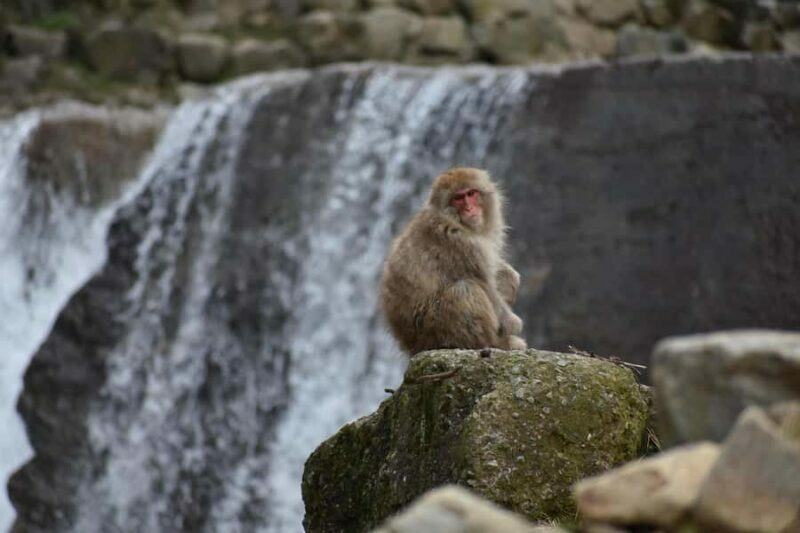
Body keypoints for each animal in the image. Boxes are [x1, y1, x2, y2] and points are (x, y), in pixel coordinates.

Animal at [380, 167, 527, 355]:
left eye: (471, 193)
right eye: (458, 198)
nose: (470, 208)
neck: (454, 220)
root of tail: (412, 346)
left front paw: (510, 276)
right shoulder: (461, 243)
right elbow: (486, 286)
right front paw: (513, 323)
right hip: (435, 328)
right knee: (465, 290)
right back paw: (495, 343)